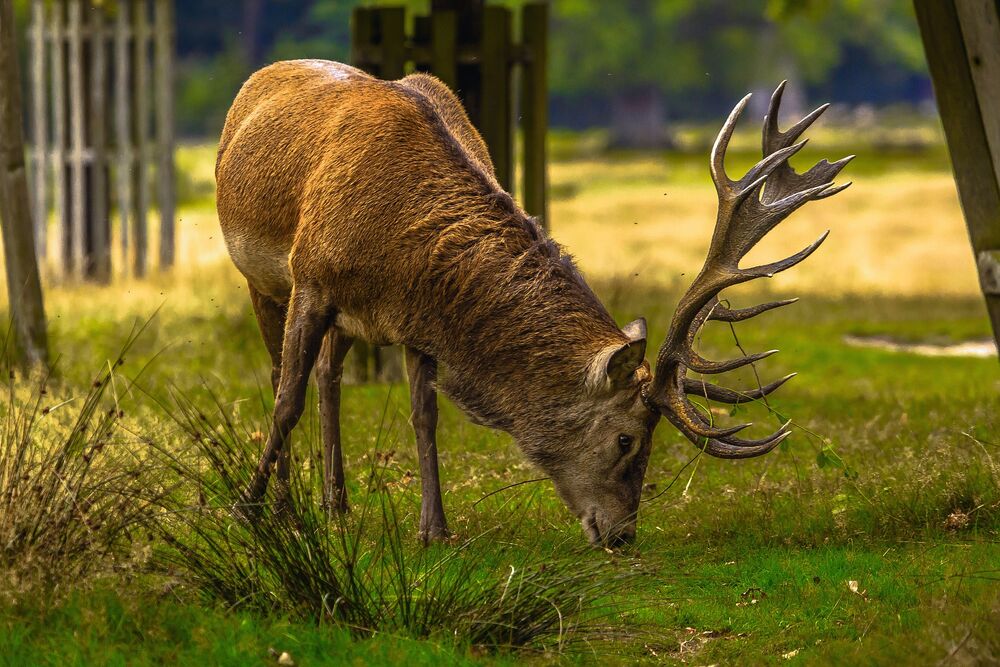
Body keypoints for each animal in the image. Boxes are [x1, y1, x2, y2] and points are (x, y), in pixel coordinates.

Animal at [217, 58, 852, 548]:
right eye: (627, 439)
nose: (623, 535)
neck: (399, 244)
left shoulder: (414, 320)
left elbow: (425, 416)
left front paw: (434, 530)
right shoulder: (312, 281)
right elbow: (286, 400)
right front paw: (247, 509)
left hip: (347, 320)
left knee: (329, 374)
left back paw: (337, 503)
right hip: (262, 280)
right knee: (283, 374)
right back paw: (286, 505)